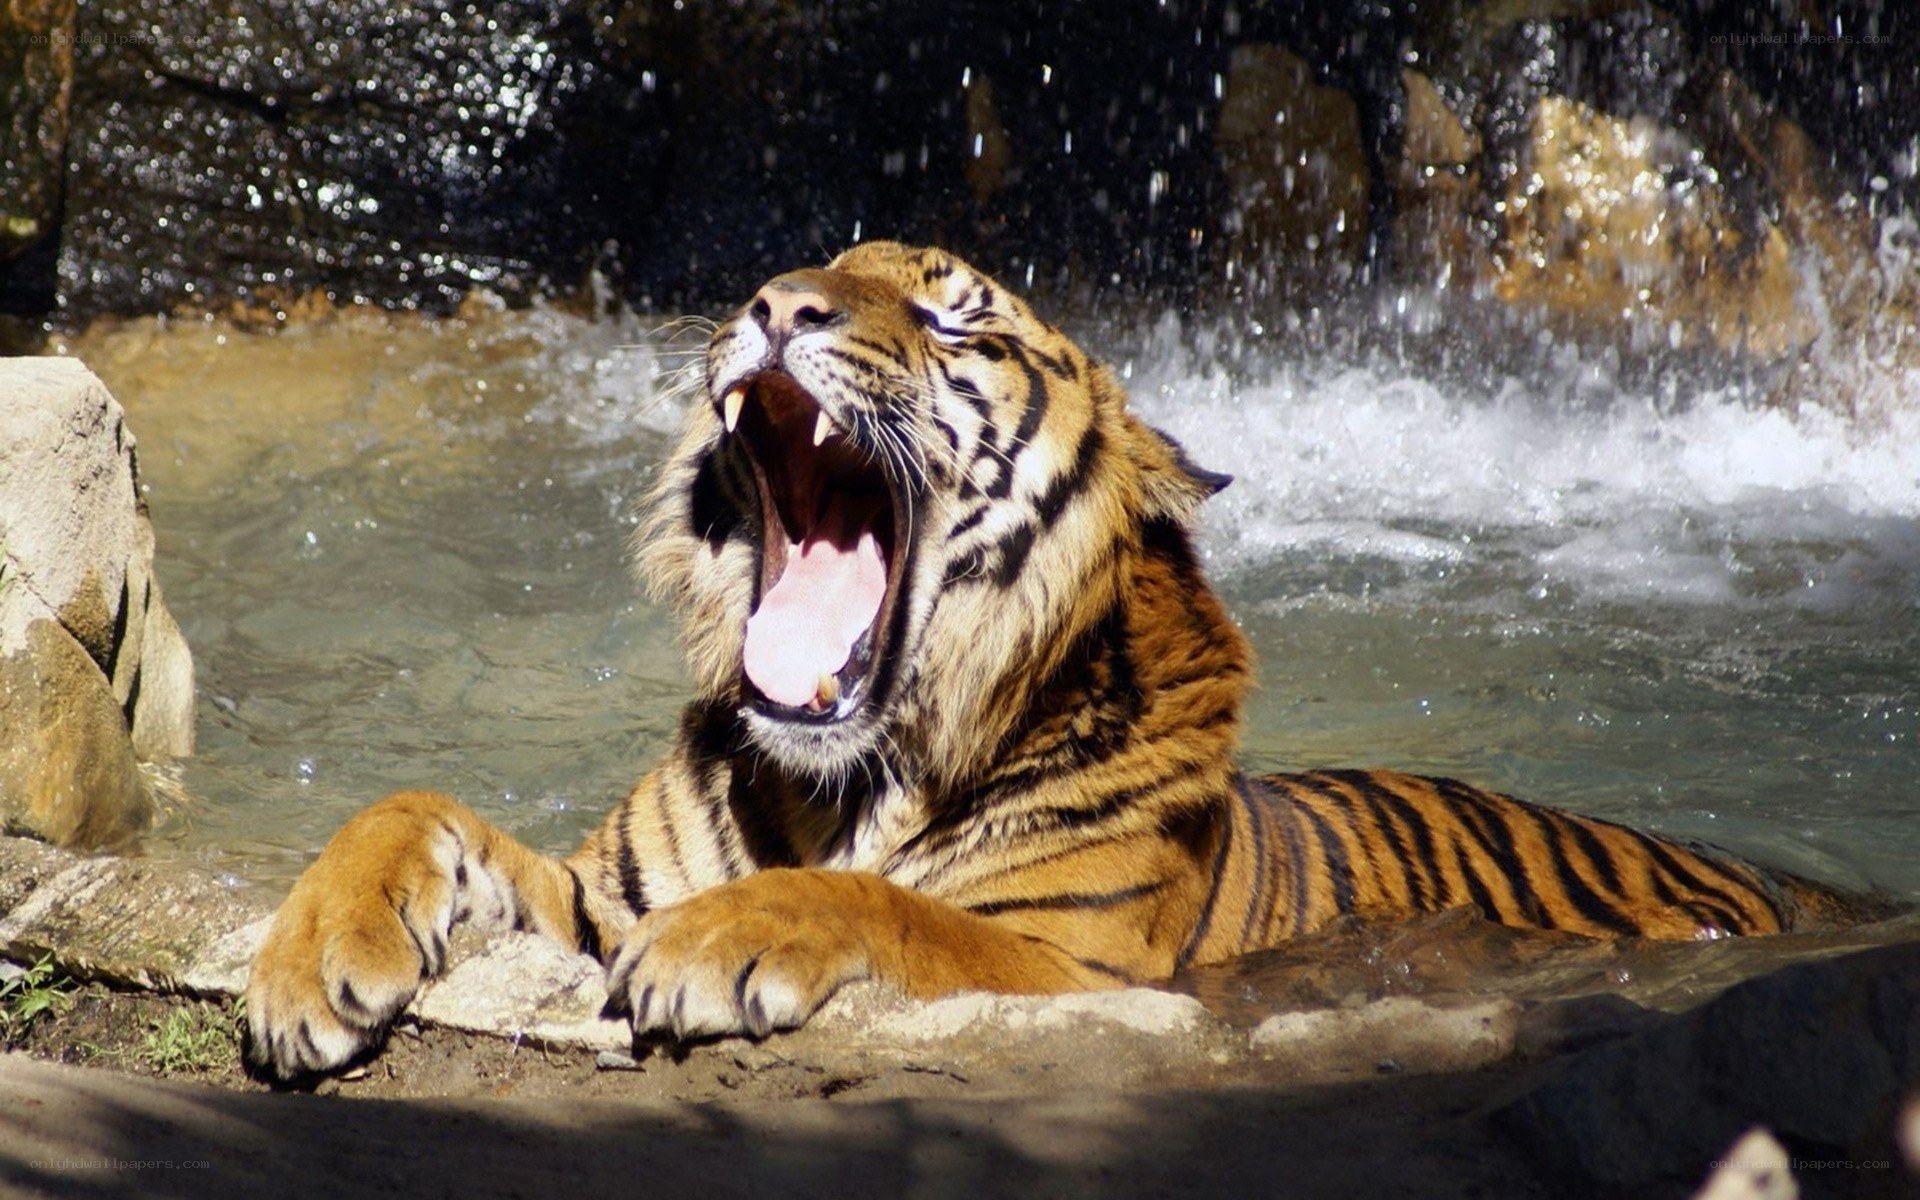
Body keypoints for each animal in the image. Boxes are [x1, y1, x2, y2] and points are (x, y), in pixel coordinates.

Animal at [245, 241, 1864, 1078]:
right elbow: (406, 808)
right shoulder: (596, 896)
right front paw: (308, 965)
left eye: (950, 309)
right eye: (808, 266)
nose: (776, 305)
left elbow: (893, 909)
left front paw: (725, 945)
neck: (846, 780)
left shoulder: (1076, 965)